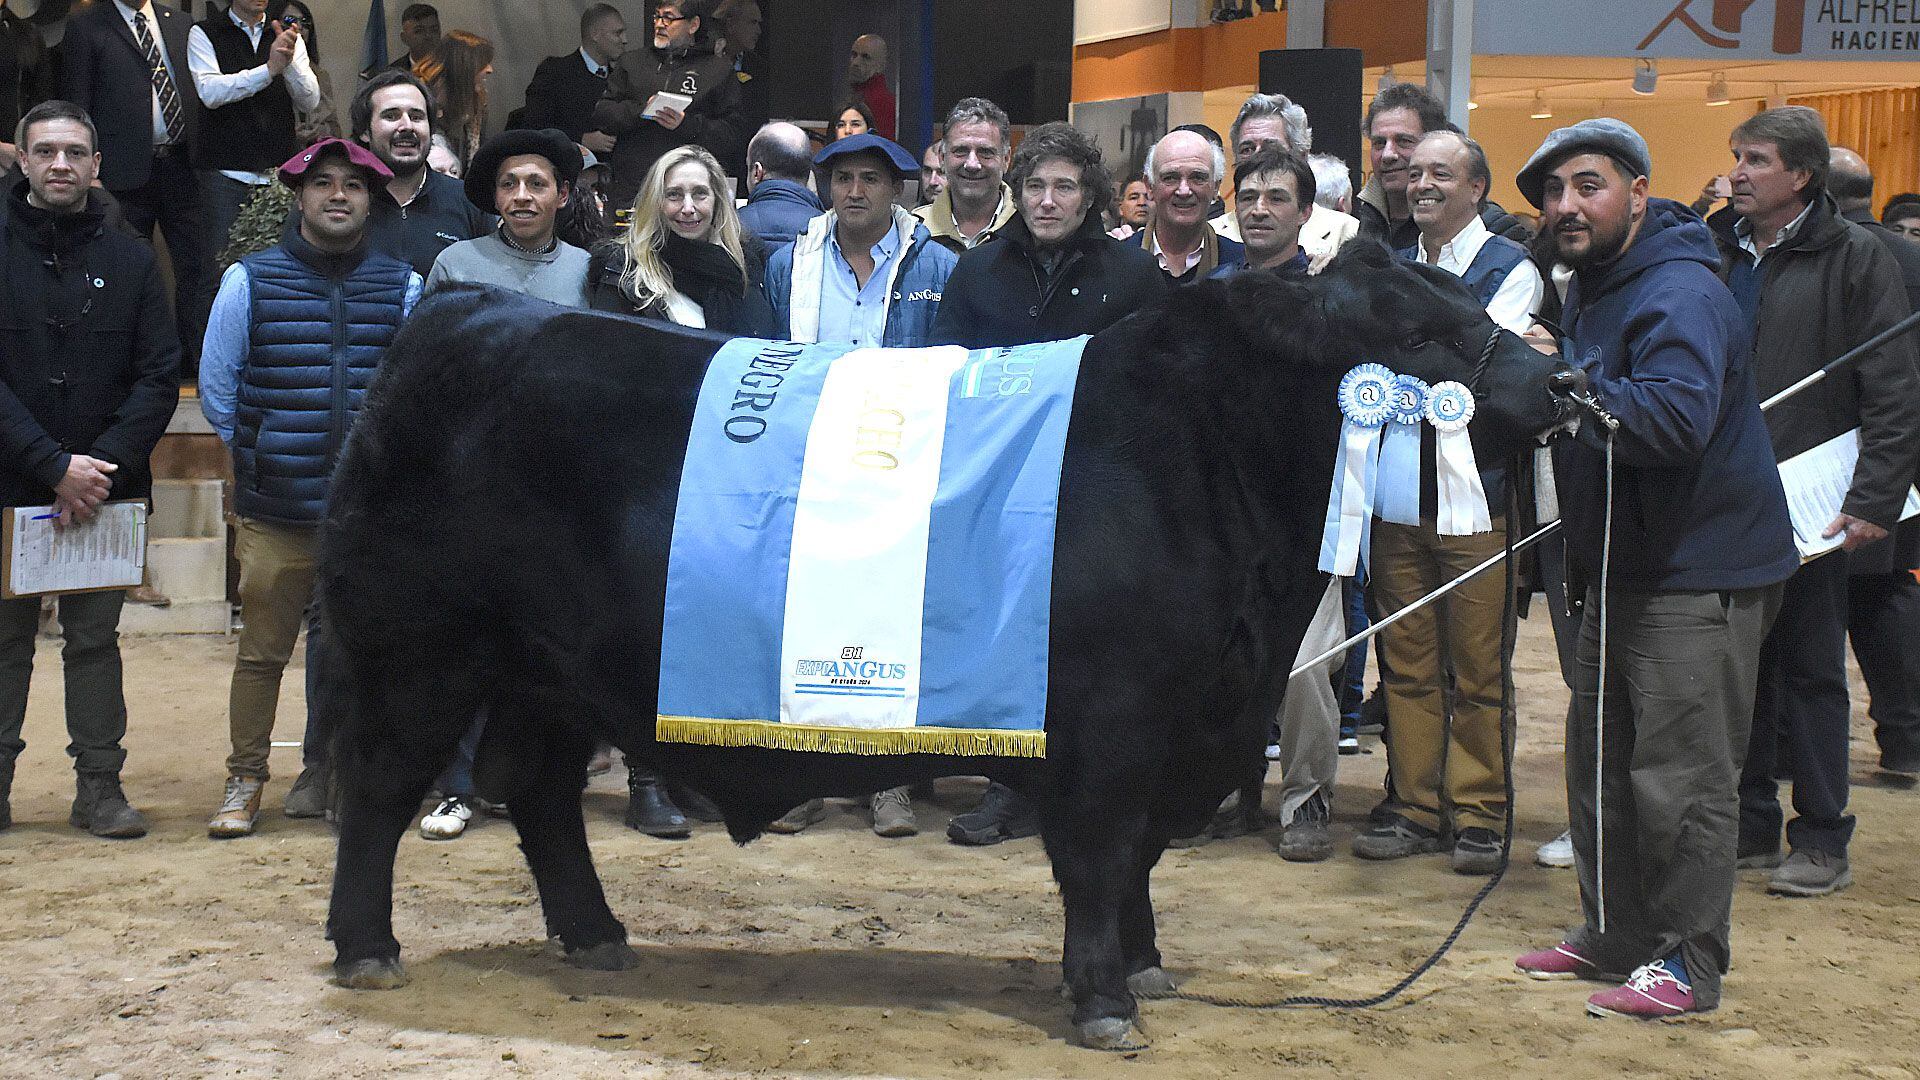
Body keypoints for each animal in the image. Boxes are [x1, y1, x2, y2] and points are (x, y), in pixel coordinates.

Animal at [318, 242, 1574, 1045]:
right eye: (1423, 334)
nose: (1563, 377)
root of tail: (460, 318)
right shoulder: (1112, 728)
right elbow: (1102, 858)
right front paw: (1104, 999)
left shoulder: (1176, 726)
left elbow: (1137, 866)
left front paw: (1145, 966)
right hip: (419, 654)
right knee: (381, 791)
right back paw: (367, 947)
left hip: (545, 676)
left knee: (537, 794)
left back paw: (595, 937)